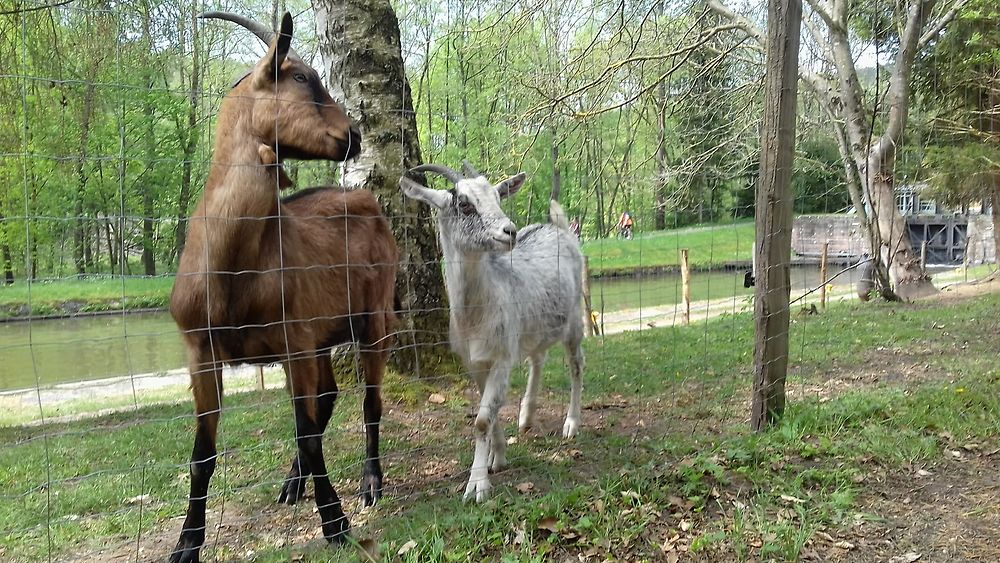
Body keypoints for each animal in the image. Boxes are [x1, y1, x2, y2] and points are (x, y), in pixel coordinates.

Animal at [166, 13, 396, 563]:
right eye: (302, 78)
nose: (354, 137)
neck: (236, 268)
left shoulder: (293, 342)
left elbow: (309, 434)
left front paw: (336, 523)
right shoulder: (201, 352)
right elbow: (202, 454)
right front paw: (186, 543)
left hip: (372, 319)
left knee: (369, 402)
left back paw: (370, 483)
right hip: (322, 337)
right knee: (328, 398)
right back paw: (294, 483)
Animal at [400, 162, 584, 502]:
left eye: (498, 197)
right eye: (464, 204)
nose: (509, 231)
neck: (476, 315)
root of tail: (560, 230)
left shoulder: (502, 357)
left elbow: (483, 419)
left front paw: (477, 485)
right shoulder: (474, 363)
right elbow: (490, 413)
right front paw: (496, 460)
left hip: (575, 318)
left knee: (576, 365)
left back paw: (571, 424)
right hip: (534, 328)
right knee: (538, 359)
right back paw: (526, 417)